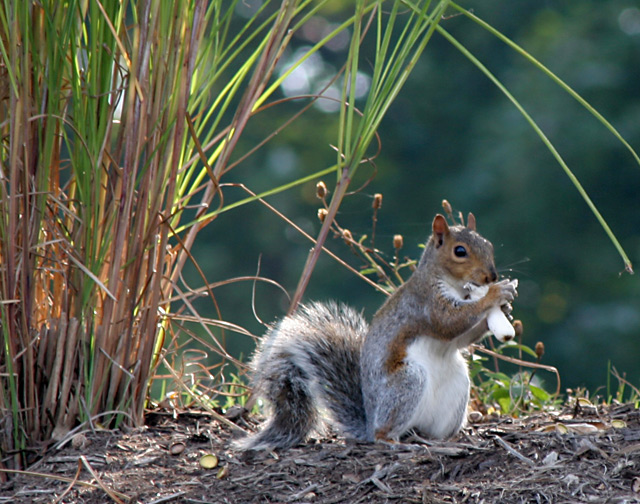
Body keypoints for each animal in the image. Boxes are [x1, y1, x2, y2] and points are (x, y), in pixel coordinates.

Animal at [238, 209, 516, 448]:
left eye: (489, 245)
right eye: (460, 251)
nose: (491, 276)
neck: (456, 286)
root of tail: (370, 424)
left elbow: (461, 338)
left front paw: (504, 308)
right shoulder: (425, 303)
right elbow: (449, 322)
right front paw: (496, 293)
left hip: (456, 388)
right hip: (407, 381)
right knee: (385, 431)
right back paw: (392, 440)